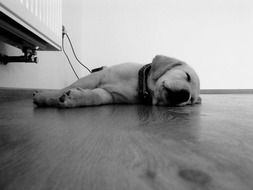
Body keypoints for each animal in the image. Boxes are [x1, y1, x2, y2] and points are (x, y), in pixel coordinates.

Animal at [32, 55, 201, 107]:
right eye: (187, 75)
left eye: (190, 100)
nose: (184, 96)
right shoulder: (97, 77)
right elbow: (66, 87)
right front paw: (45, 97)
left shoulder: (110, 95)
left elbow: (96, 97)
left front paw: (76, 98)